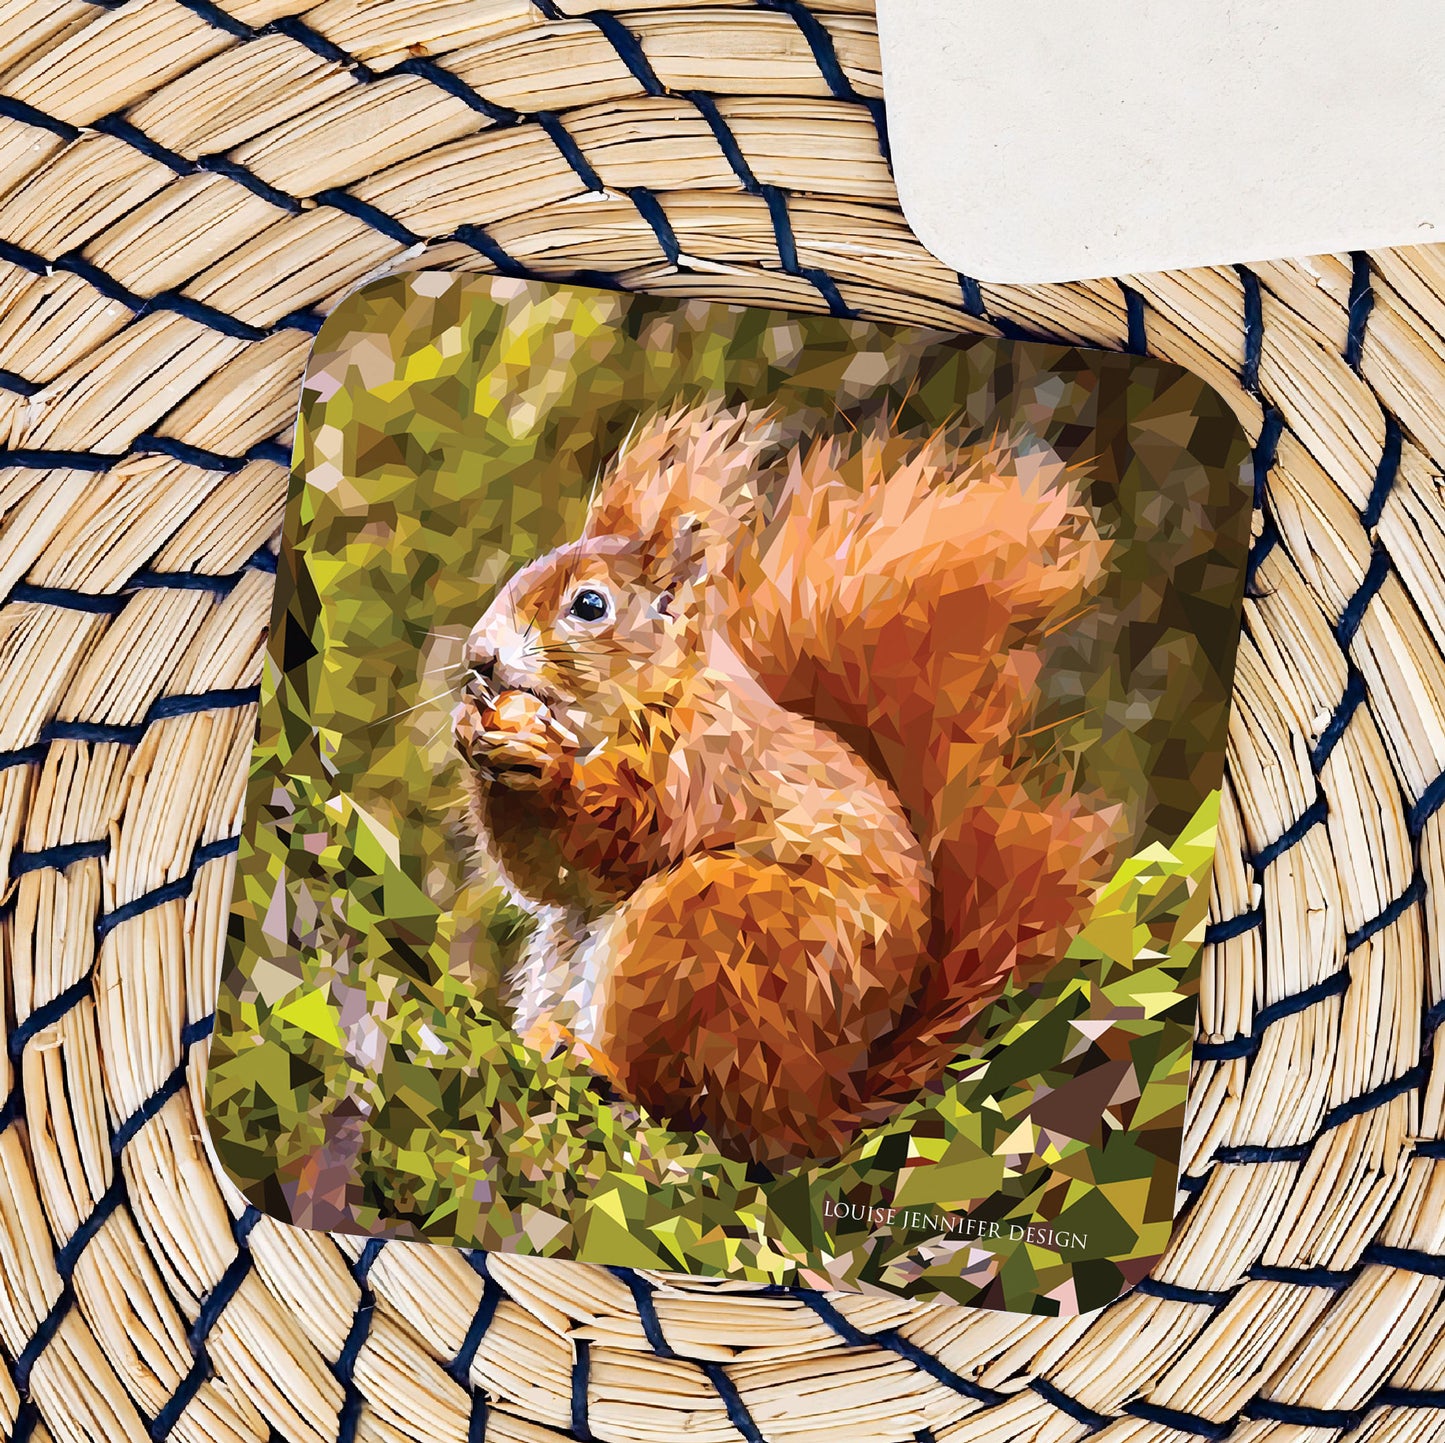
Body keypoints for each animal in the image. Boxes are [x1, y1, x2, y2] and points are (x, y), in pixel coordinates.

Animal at [452, 401, 1121, 1169]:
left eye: (589, 605)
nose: (478, 659)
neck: (643, 699)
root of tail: (816, 1113)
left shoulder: (704, 766)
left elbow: (617, 836)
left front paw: (544, 762)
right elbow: (546, 876)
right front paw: (470, 731)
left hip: (705, 937)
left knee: (677, 1101)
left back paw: (594, 1062)